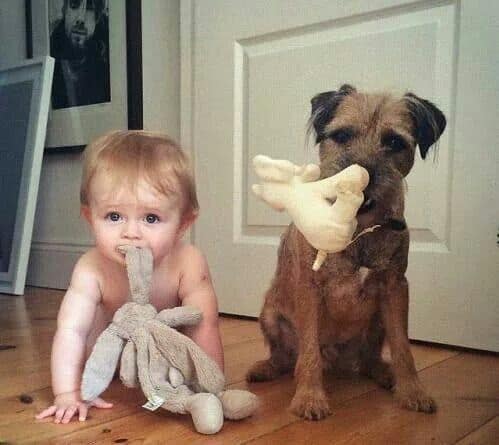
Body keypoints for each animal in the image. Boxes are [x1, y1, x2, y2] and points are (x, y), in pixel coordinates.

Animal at [248, 84, 448, 420]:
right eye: (341, 135)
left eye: (394, 142)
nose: (361, 178)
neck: (356, 229)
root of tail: (339, 359)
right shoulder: (309, 288)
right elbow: (309, 351)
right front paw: (310, 397)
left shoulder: (396, 288)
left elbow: (403, 347)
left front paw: (413, 392)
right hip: (270, 314)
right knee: (286, 357)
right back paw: (264, 369)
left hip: (378, 319)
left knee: (368, 359)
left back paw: (385, 374)